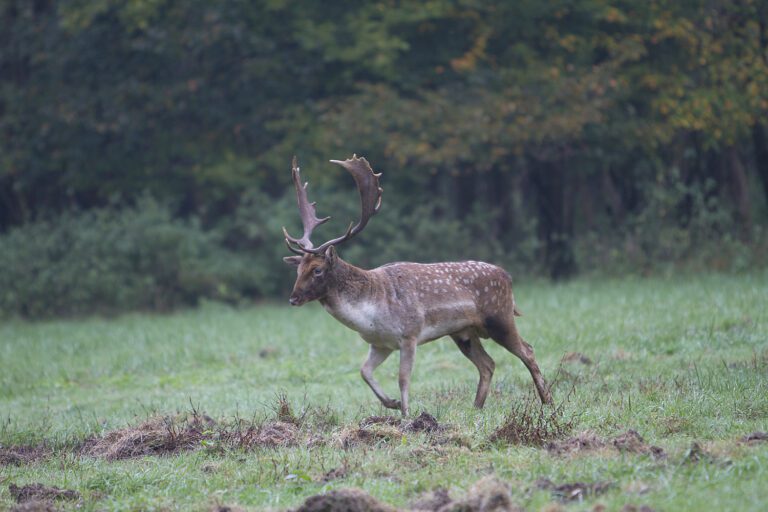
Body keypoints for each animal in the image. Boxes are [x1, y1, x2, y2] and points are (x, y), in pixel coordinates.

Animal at [282, 155, 552, 416]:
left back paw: (547, 402)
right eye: (297, 269)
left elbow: (403, 378)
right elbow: (364, 371)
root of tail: (507, 276)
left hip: (499, 318)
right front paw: (392, 403)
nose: (293, 299)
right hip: (464, 331)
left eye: (317, 270)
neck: (370, 313)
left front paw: (407, 415)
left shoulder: (409, 334)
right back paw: (476, 408)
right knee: (488, 364)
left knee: (527, 350)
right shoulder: (379, 343)